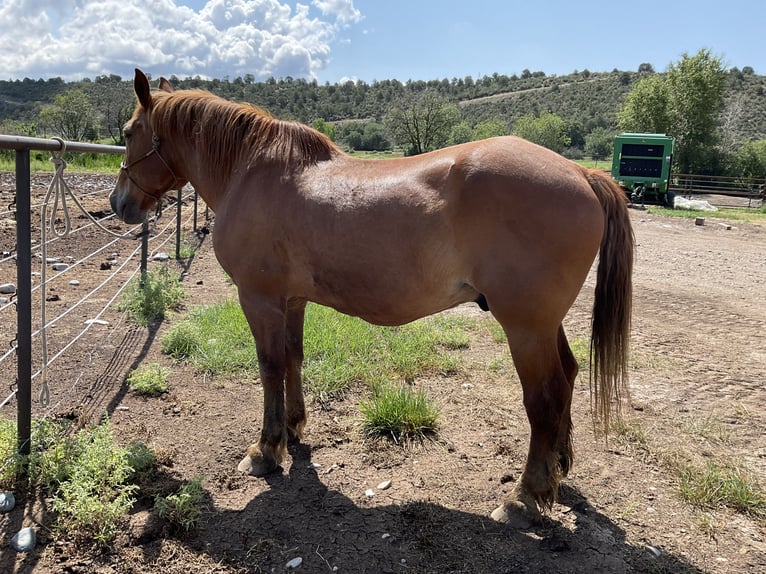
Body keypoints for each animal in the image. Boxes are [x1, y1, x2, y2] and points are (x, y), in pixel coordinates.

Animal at [109, 68, 636, 528]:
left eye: (129, 130)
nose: (119, 204)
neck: (252, 172)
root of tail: (581, 173)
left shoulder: (259, 299)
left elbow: (269, 367)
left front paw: (266, 450)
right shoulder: (292, 300)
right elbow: (293, 358)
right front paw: (296, 429)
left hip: (525, 327)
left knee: (545, 398)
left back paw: (525, 498)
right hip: (544, 324)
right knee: (568, 376)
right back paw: (558, 472)